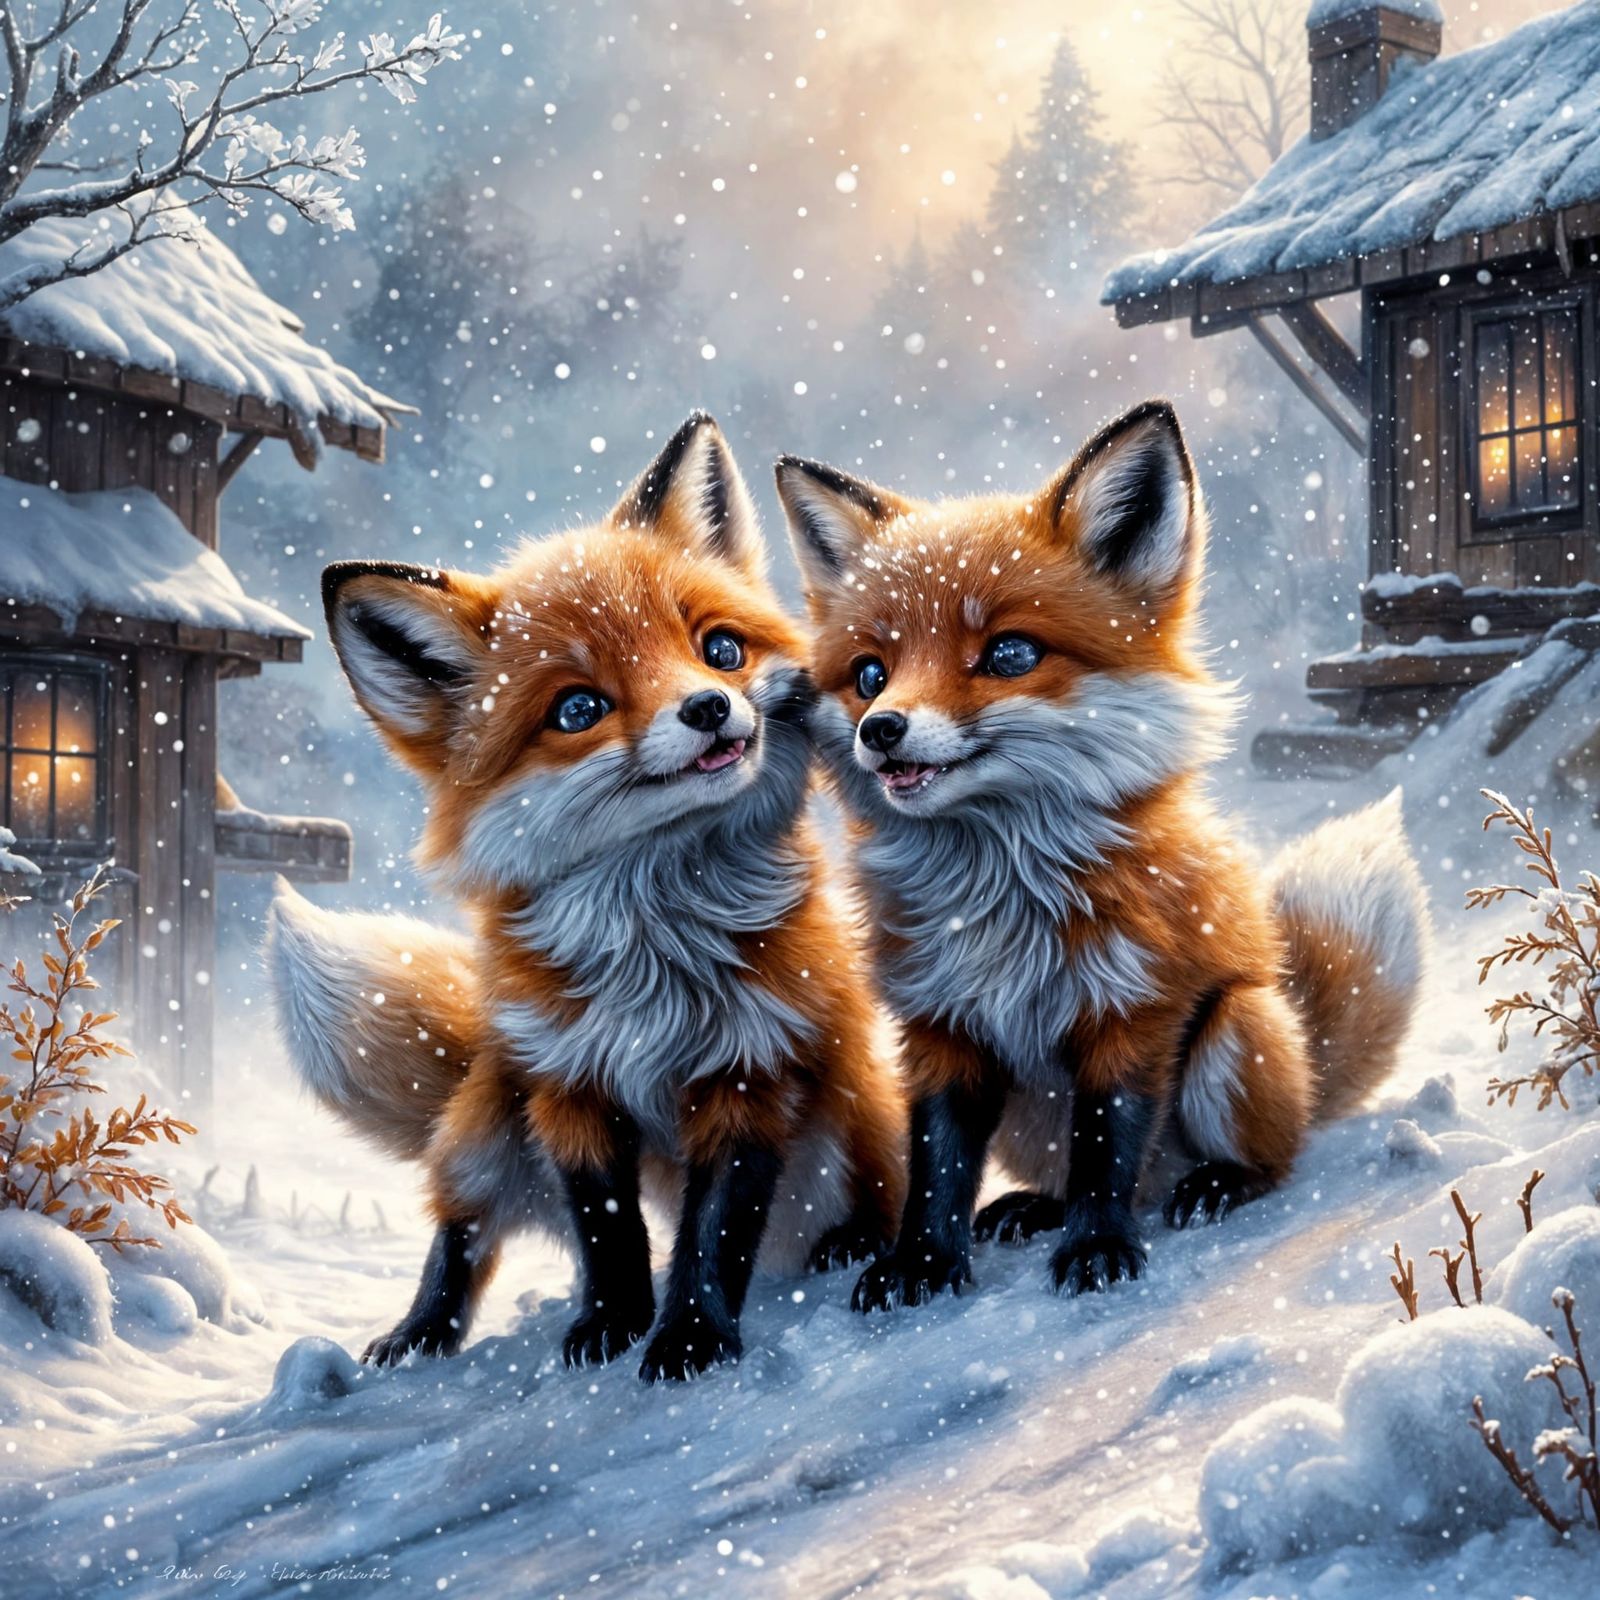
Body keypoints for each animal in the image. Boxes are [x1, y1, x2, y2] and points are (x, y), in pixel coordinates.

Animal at [268, 413, 903, 1379]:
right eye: (577, 710)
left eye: (720, 649)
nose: (710, 708)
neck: (655, 951)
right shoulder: (567, 1085)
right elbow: (607, 1226)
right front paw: (610, 1324)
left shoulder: (751, 1071)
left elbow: (714, 1232)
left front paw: (688, 1337)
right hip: (490, 1120)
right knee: (461, 1229)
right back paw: (418, 1335)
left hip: (849, 1113)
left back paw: (852, 1245)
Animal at [772, 399, 1429, 1310]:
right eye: (870, 674)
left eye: (1009, 654)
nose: (882, 731)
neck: (1001, 893)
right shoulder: (941, 1025)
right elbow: (938, 1167)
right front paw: (922, 1265)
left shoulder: (1133, 1007)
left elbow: (1107, 1150)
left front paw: (1097, 1250)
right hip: (1028, 1113)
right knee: (1078, 1173)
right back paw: (1032, 1209)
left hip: (1236, 1026)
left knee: (1254, 1160)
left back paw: (1217, 1183)